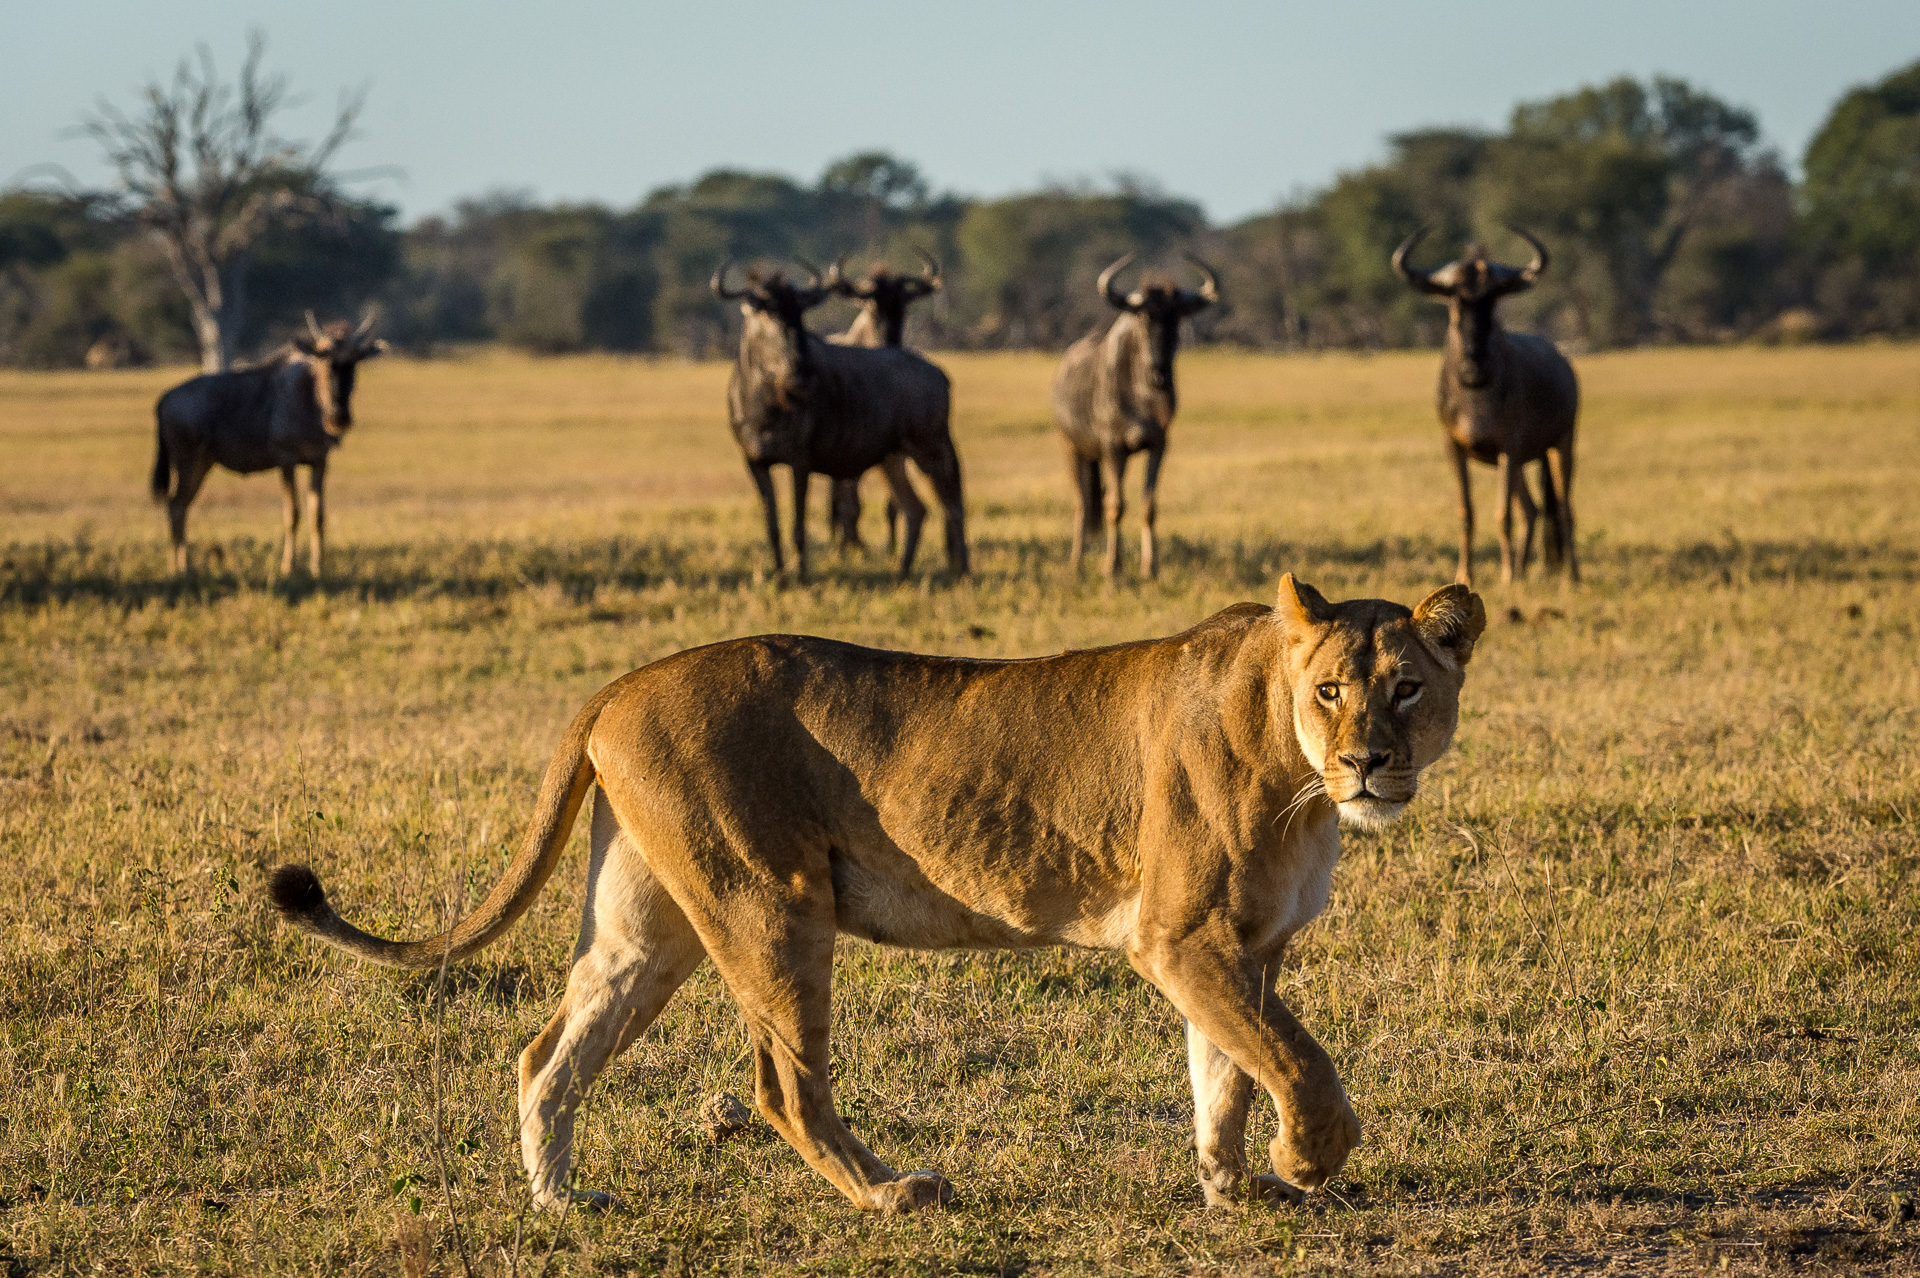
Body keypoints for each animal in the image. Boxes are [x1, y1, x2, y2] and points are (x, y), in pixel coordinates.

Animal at [268, 574, 1486, 1213]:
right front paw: (1304, 1162)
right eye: (1330, 691)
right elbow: (1299, 1062)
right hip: (769, 904)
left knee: (547, 1051)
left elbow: (1227, 1072)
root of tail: (623, 681)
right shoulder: (1180, 938)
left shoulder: (1247, 948)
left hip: (646, 926)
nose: (1369, 763)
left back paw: (565, 1202)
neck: (1299, 783)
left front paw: (1238, 1191)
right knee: (782, 1085)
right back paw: (891, 1194)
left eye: (1406, 689)